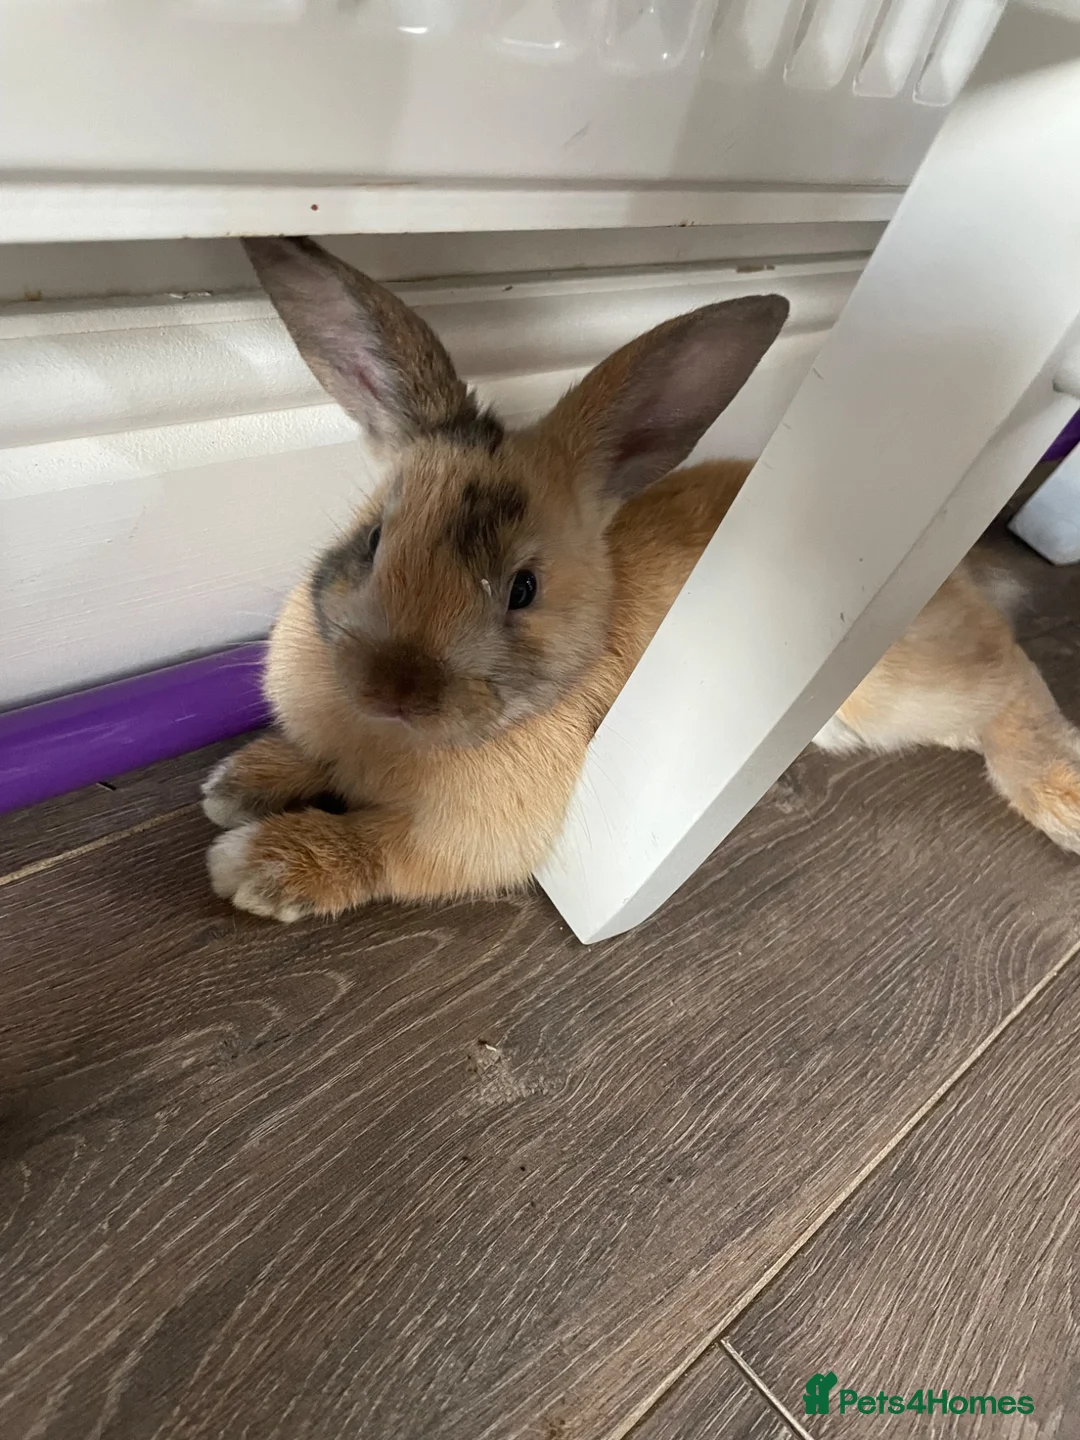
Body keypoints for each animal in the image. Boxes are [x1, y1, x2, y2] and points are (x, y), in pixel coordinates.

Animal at [203, 236, 1080, 922]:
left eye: (523, 588)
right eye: (375, 538)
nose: (391, 689)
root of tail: (952, 578)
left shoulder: (472, 840)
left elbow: (382, 851)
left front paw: (255, 864)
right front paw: (236, 784)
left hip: (896, 688)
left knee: (1011, 680)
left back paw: (1063, 800)